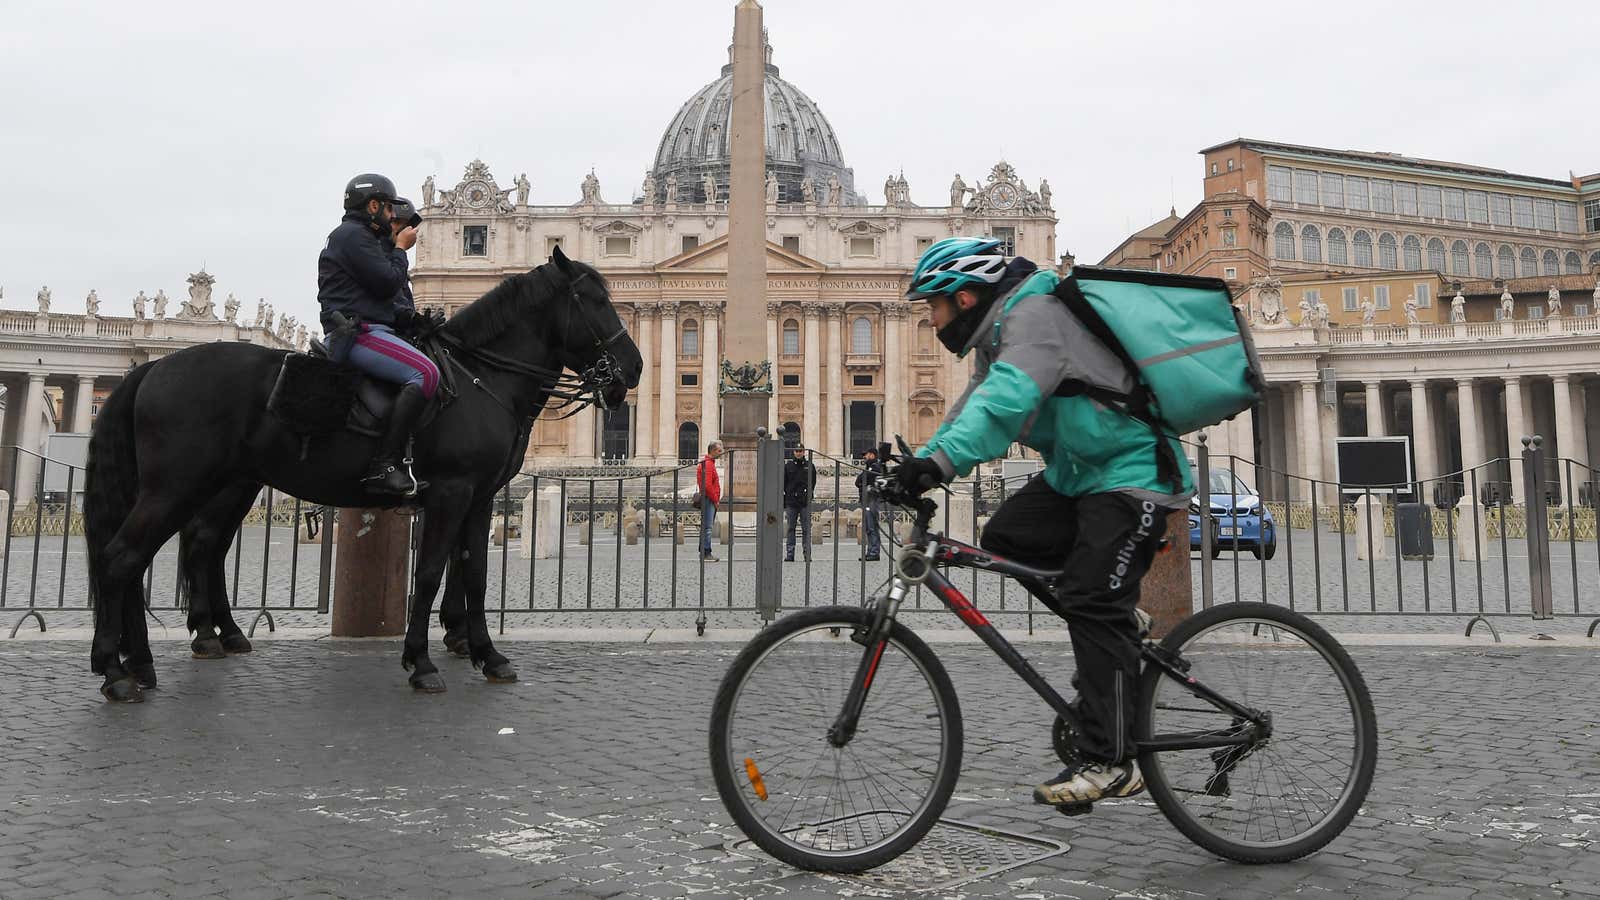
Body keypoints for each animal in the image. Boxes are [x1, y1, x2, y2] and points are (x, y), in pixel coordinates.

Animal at [82, 249, 643, 701]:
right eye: (592, 299)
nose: (633, 369)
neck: (483, 379)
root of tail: (153, 367)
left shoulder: (481, 497)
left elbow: (475, 574)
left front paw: (488, 655)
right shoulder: (451, 491)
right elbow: (431, 572)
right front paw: (422, 662)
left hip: (227, 484)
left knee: (187, 549)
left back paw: (171, 654)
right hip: (176, 485)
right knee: (123, 557)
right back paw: (119, 671)